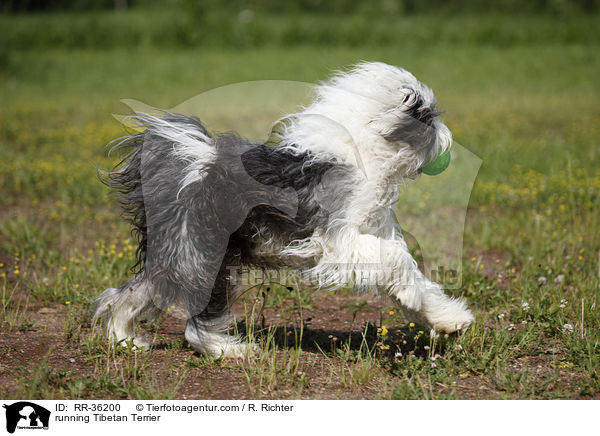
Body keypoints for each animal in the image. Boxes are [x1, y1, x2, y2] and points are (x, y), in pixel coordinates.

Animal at [92, 63, 474, 360]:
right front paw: (423, 303)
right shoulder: (337, 242)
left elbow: (416, 279)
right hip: (204, 256)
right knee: (194, 323)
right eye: (430, 117)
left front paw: (449, 319)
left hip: (175, 255)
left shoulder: (371, 236)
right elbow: (398, 261)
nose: (448, 140)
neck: (364, 151)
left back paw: (125, 340)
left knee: (128, 293)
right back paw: (231, 350)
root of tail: (191, 162)